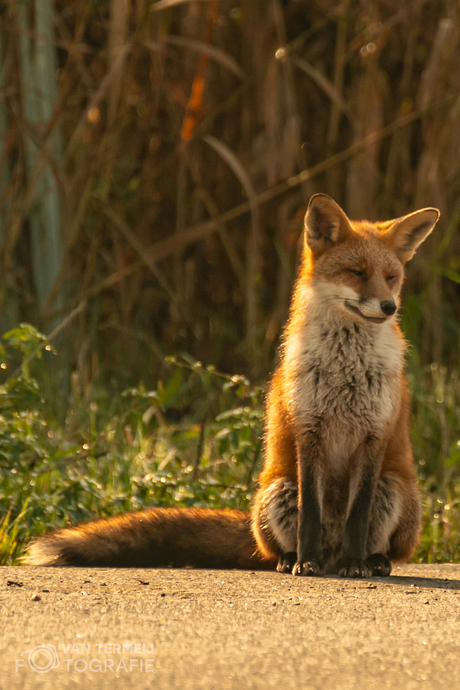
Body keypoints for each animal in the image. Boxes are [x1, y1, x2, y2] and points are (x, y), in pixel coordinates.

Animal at [23, 195, 440, 576]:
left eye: (391, 278)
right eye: (356, 272)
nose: (388, 307)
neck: (346, 369)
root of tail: (331, 553)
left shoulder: (373, 436)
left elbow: (357, 516)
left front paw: (356, 564)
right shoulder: (309, 430)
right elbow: (309, 514)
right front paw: (305, 563)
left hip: (392, 488)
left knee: (382, 545)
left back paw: (371, 561)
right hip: (278, 490)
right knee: (280, 546)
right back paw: (295, 559)